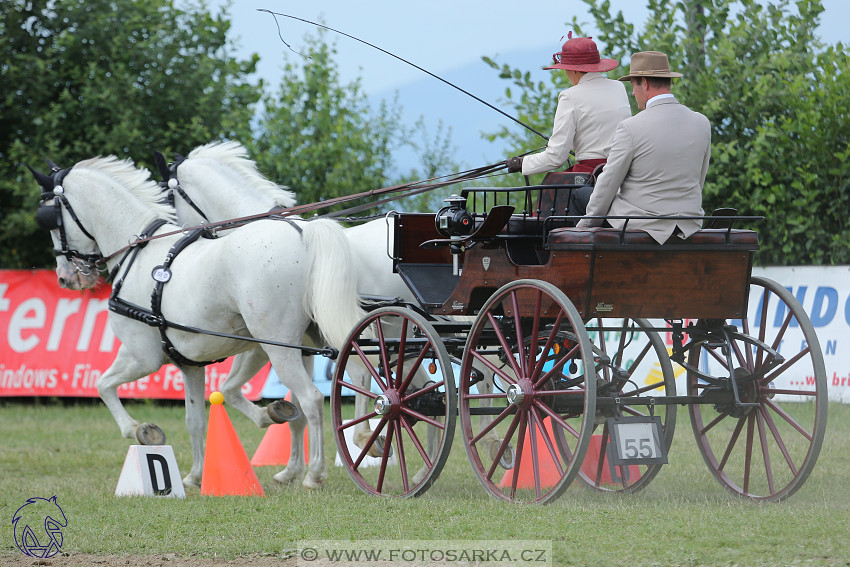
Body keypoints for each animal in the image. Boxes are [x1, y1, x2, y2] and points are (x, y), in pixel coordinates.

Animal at [32, 156, 364, 488]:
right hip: (313, 342)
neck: (137, 255)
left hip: (278, 347)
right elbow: (196, 419)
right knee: (340, 384)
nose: (65, 277)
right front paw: (195, 475)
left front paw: (141, 431)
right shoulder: (190, 364)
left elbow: (103, 385)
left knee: (312, 399)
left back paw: (315, 473)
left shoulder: (142, 357)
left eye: (51, 218)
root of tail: (303, 235)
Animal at [161, 142, 516, 470]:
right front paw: (294, 466)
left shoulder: (278, 339)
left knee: (476, 368)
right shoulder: (301, 342)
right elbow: (289, 402)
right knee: (474, 370)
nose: (174, 241)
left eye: (167, 198)